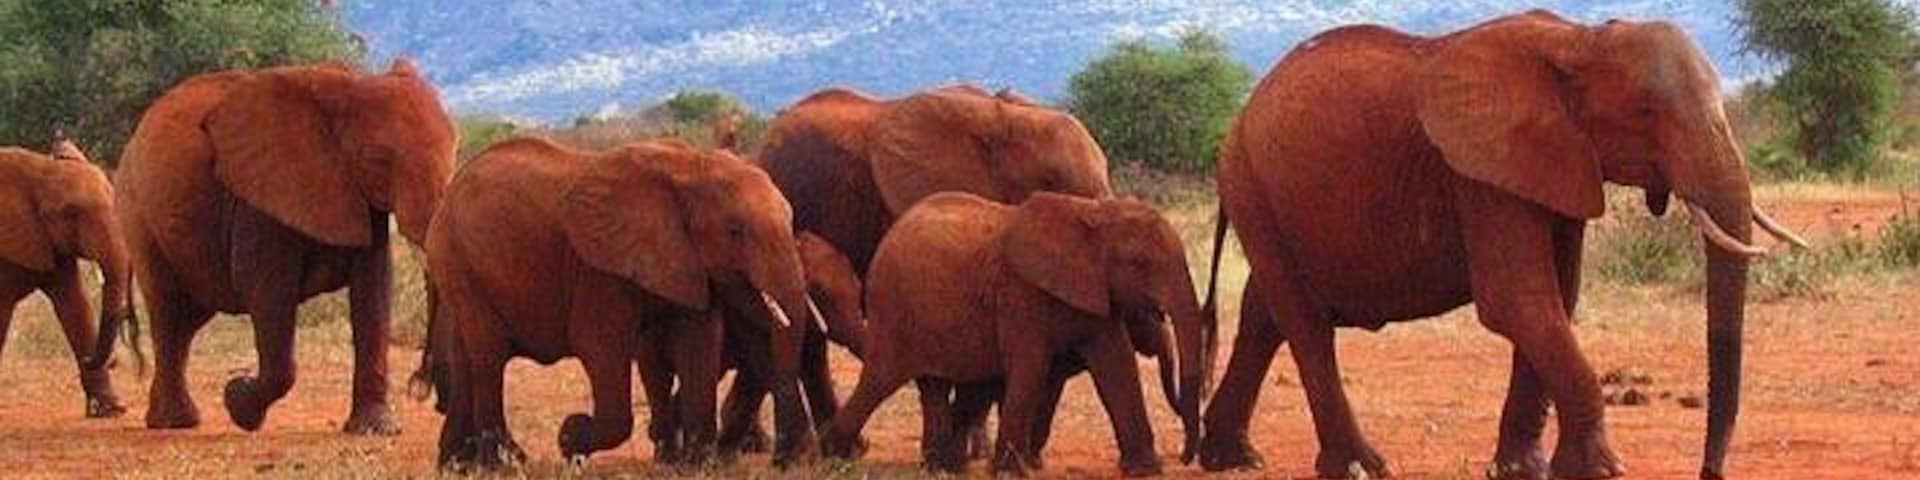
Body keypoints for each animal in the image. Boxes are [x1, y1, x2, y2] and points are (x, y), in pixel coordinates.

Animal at [0, 136, 136, 418]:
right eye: (71, 213)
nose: (113, 360)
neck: (39, 170)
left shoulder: (50, 243)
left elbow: (75, 305)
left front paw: (111, 409)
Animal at [116, 59, 457, 434]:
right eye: (378, 159)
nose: (423, 386)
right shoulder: (262, 198)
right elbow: (268, 291)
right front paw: (238, 400)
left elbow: (374, 290)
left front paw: (375, 429)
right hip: (137, 213)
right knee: (168, 309)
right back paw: (175, 422)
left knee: (188, 319)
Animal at [425, 137, 820, 469]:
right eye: (735, 230)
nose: (790, 459)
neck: (692, 167)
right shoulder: (599, 269)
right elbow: (598, 346)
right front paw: (571, 438)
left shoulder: (687, 260)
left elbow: (698, 345)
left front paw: (699, 465)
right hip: (457, 259)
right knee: (488, 356)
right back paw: (504, 464)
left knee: (467, 358)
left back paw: (456, 464)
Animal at [818, 192, 1211, 477]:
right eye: (1139, 264)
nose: (1186, 456)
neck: (1092, 213)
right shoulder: (1019, 293)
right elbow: (1031, 369)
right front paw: (1012, 471)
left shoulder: (1096, 293)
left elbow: (1118, 366)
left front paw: (1146, 469)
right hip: (893, 308)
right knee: (881, 378)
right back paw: (835, 455)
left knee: (932, 386)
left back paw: (940, 466)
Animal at [1193, 11, 1809, 480]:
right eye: (1646, 113)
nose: (1710, 472)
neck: (1579, 42)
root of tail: (1242, 114)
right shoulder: (1480, 174)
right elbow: (1518, 301)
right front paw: (1600, 471)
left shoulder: (1556, 164)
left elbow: (1557, 298)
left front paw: (1524, 470)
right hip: (1251, 184)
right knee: (1305, 325)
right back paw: (1361, 467)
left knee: (1264, 315)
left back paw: (1232, 459)